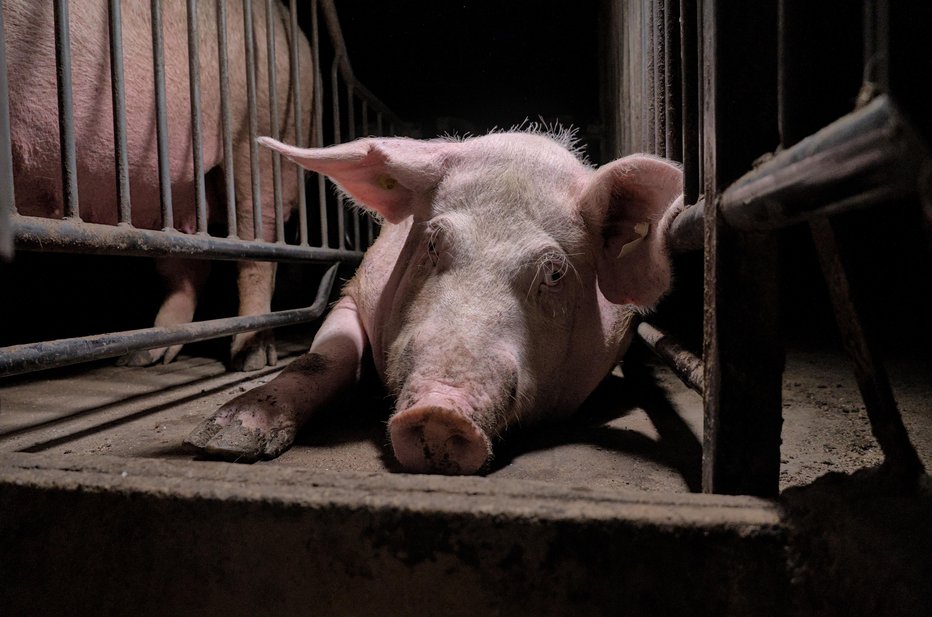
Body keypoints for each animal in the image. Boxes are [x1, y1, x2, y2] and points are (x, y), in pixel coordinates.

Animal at [184, 130, 684, 474]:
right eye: (432, 243)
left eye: (556, 273)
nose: (440, 411)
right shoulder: (355, 292)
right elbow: (321, 360)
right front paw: (221, 441)